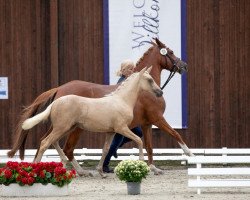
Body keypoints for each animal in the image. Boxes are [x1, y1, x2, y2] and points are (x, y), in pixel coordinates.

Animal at [21, 67, 162, 177]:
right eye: (150, 80)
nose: (160, 92)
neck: (122, 100)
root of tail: (55, 102)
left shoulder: (111, 132)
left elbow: (105, 149)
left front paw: (101, 171)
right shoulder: (121, 128)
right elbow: (139, 140)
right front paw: (142, 163)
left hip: (67, 128)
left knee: (54, 142)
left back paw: (68, 166)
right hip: (62, 128)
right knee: (45, 143)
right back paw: (36, 170)